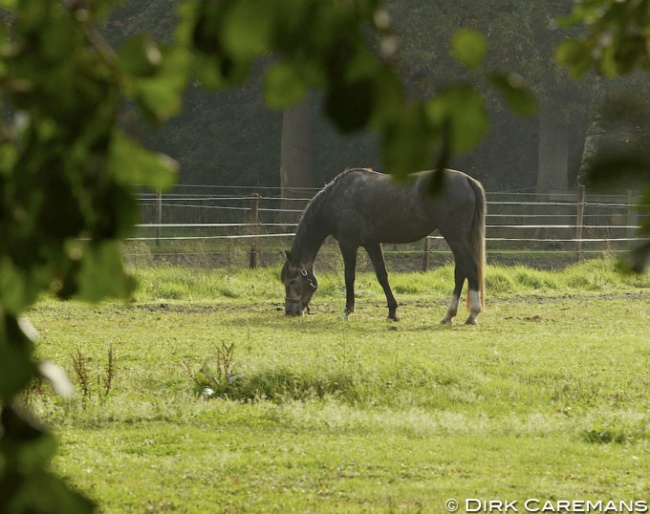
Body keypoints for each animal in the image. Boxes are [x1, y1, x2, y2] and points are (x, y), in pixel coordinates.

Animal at [278, 166, 480, 322]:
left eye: (292, 281)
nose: (290, 312)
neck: (337, 199)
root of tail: (468, 180)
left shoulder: (348, 244)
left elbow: (349, 276)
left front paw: (347, 311)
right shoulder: (372, 243)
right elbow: (382, 275)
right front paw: (392, 312)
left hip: (455, 237)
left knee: (469, 268)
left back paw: (472, 314)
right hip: (458, 239)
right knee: (460, 272)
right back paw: (449, 316)